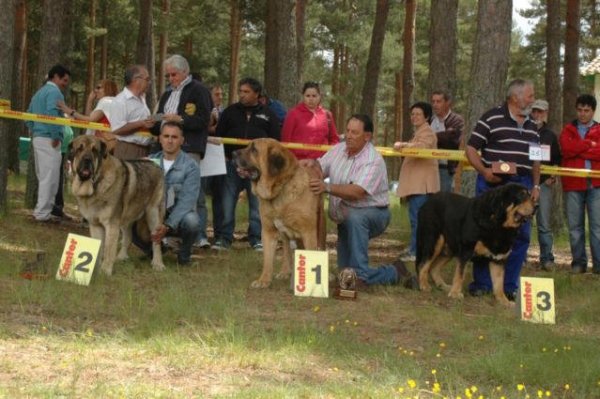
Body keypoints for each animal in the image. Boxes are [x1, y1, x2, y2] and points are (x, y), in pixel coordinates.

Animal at [69, 136, 165, 276]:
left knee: (156, 240)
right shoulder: (95, 225)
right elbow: (99, 246)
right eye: (79, 149)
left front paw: (105, 271)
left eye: (95, 150)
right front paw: (94, 268)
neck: (96, 182)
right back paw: (122, 257)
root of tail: (156, 166)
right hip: (127, 218)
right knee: (128, 237)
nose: (87, 160)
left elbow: (108, 249)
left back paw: (158, 263)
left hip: (153, 214)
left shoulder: (111, 224)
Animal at [232, 139, 324, 290]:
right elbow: (268, 259)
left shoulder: (308, 231)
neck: (280, 188)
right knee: (286, 251)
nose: (233, 153)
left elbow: (311, 253)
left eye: (254, 149)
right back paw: (285, 272)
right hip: (285, 234)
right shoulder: (268, 231)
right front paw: (263, 281)